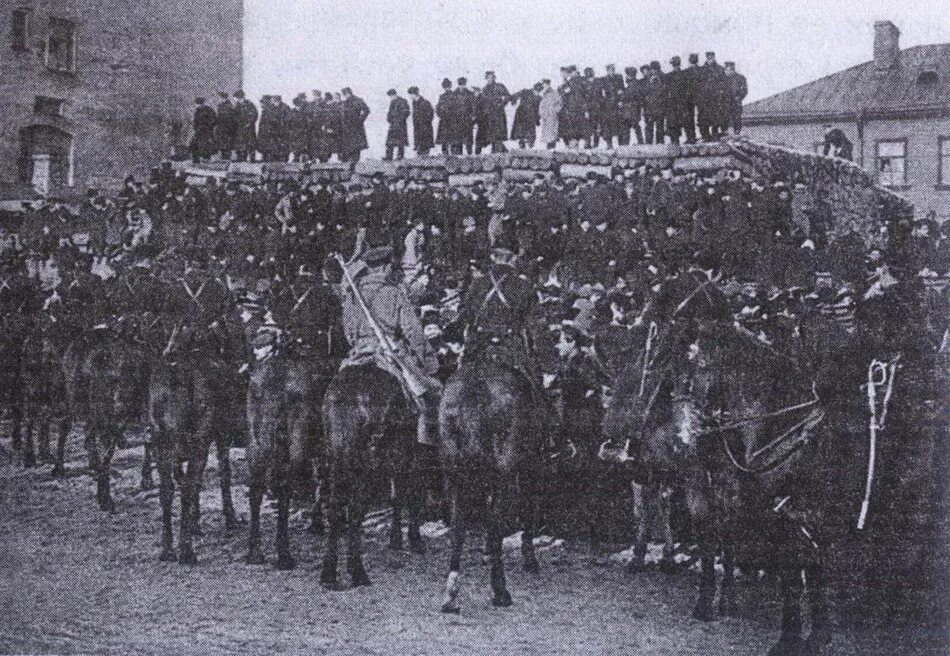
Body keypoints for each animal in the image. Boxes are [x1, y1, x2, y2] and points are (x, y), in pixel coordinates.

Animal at [322, 364, 426, 588]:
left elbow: (397, 495)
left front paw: (397, 539)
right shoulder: (408, 451)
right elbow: (409, 493)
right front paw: (413, 540)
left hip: (338, 456)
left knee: (336, 507)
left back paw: (329, 574)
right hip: (364, 461)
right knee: (354, 510)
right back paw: (358, 573)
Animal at [438, 354, 544, 616]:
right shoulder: (531, 466)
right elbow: (528, 512)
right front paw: (530, 559)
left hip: (454, 475)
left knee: (457, 527)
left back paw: (450, 594)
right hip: (506, 476)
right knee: (497, 525)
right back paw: (500, 592)